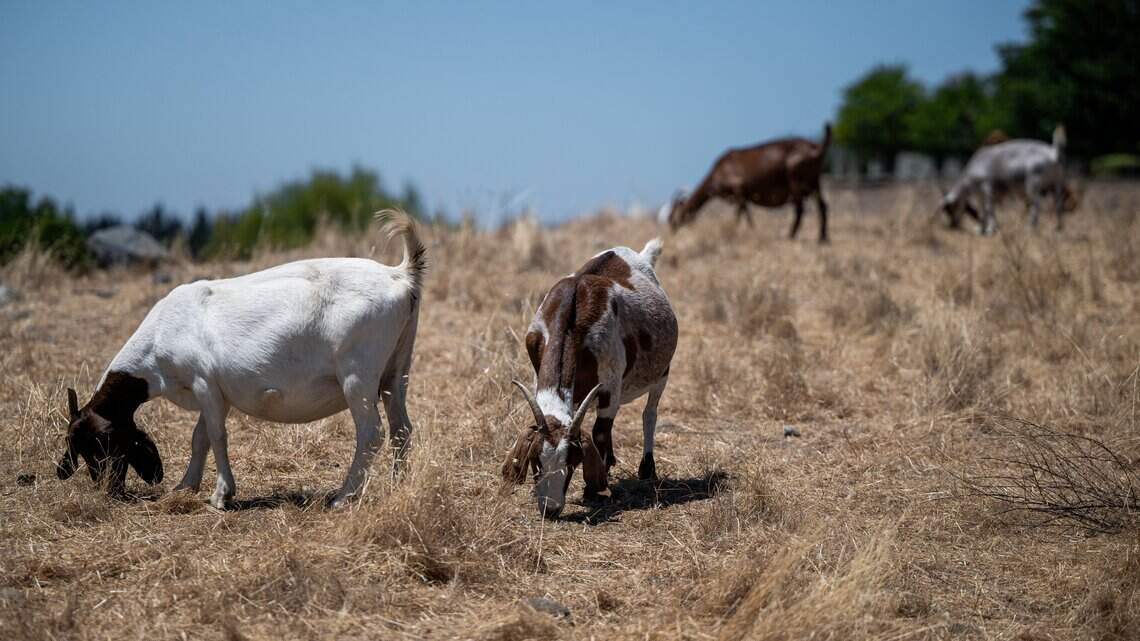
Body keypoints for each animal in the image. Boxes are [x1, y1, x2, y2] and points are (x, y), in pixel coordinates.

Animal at [56, 213, 427, 508]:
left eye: (96, 444)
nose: (107, 489)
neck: (162, 334)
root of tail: (401, 274)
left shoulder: (203, 382)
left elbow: (217, 435)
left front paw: (221, 495)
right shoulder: (216, 392)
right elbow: (200, 437)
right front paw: (185, 486)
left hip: (357, 374)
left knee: (372, 432)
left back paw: (343, 496)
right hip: (396, 370)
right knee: (401, 429)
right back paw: (399, 488)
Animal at [502, 239, 677, 519]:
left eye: (573, 462)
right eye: (536, 461)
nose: (551, 508)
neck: (572, 311)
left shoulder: (610, 389)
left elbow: (600, 433)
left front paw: (594, 489)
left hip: (662, 372)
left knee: (649, 413)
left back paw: (646, 469)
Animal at [660, 123, 831, 242]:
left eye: (675, 220)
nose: (673, 234)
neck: (718, 170)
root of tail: (816, 147)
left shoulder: (739, 190)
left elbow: (741, 214)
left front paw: (743, 231)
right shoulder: (742, 196)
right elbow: (745, 213)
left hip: (795, 179)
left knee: (800, 209)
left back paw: (790, 235)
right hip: (815, 181)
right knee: (822, 206)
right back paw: (822, 238)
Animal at [941, 126, 1072, 234]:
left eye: (950, 209)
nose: (952, 225)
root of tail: (1054, 153)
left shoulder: (988, 186)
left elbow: (989, 208)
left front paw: (990, 229)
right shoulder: (980, 194)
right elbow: (983, 209)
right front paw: (981, 229)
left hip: (1033, 183)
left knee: (1036, 204)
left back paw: (1030, 227)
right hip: (1058, 183)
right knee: (1058, 204)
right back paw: (1058, 228)